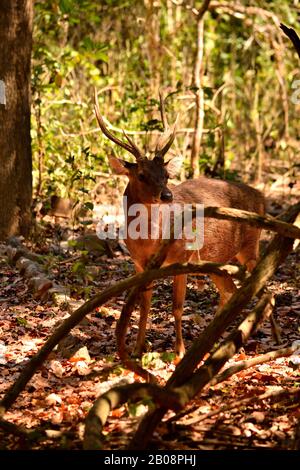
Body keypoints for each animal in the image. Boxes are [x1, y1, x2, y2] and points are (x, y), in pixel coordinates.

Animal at [94, 90, 264, 358]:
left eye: (166, 175)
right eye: (141, 174)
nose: (167, 195)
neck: (149, 242)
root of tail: (262, 197)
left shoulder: (182, 258)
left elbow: (177, 307)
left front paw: (179, 353)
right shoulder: (139, 264)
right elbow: (145, 306)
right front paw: (137, 349)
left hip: (250, 245)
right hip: (218, 261)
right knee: (230, 291)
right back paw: (211, 343)